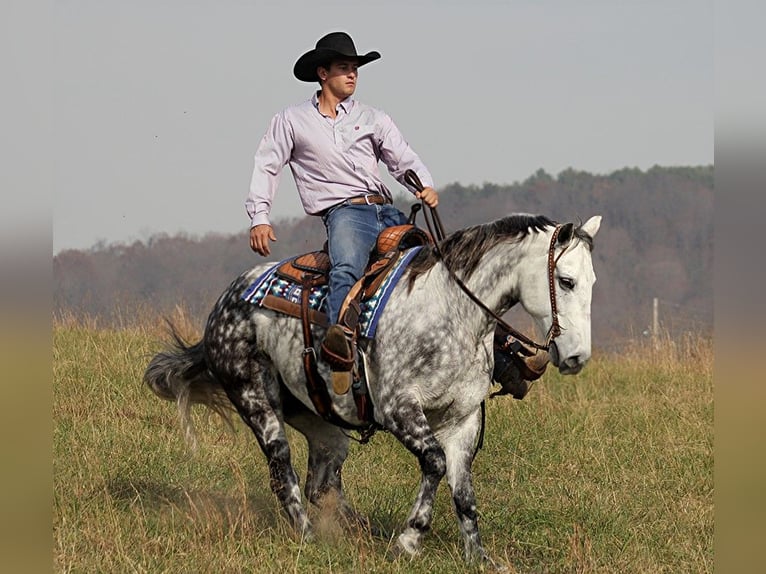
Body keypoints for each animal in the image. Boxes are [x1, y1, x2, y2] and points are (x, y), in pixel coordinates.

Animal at [142, 214, 600, 568]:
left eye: (591, 281)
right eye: (566, 280)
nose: (577, 356)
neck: (450, 313)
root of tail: (224, 305)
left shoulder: (464, 420)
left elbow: (464, 490)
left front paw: (478, 557)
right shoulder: (399, 409)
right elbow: (435, 464)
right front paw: (409, 541)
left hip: (323, 424)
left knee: (322, 483)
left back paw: (359, 534)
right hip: (256, 399)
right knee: (283, 472)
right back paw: (310, 538)